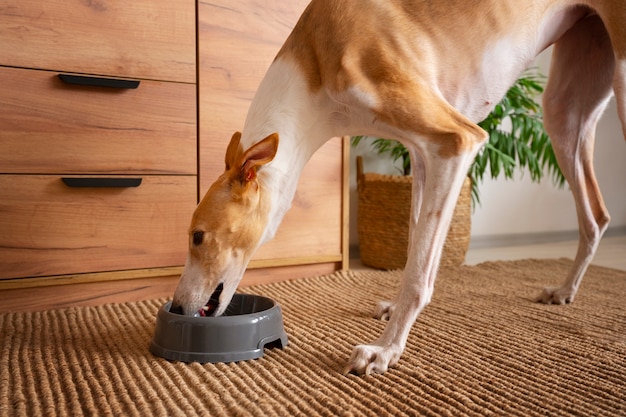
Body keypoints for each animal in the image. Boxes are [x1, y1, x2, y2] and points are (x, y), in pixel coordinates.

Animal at [171, 0, 624, 374]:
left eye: (197, 237)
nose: (176, 306)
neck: (315, 62)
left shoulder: (456, 142)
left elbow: (418, 276)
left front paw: (385, 350)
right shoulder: (422, 157)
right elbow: (414, 247)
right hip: (564, 111)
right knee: (597, 215)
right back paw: (565, 290)